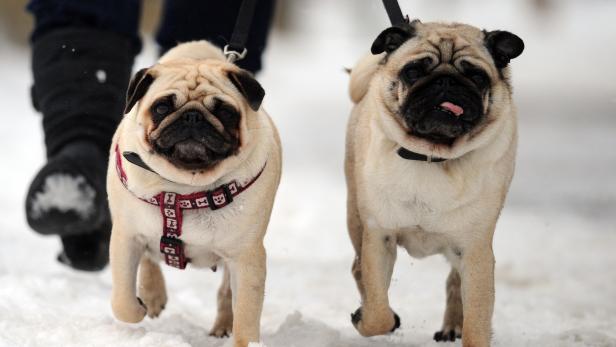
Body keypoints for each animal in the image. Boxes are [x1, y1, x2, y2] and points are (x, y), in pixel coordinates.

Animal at [107, 41, 280, 347]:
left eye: (225, 112)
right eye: (162, 107)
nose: (192, 116)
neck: (185, 188)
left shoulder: (247, 257)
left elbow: (246, 315)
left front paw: (243, 339)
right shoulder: (126, 237)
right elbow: (123, 302)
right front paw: (138, 307)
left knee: (226, 295)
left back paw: (222, 327)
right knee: (149, 262)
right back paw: (151, 296)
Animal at [344, 21, 524, 347]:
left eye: (476, 77)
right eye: (414, 71)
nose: (446, 82)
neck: (431, 155)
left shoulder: (476, 250)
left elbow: (477, 320)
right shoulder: (379, 236)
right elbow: (378, 310)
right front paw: (369, 318)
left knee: (454, 281)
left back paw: (451, 326)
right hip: (355, 218)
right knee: (359, 270)